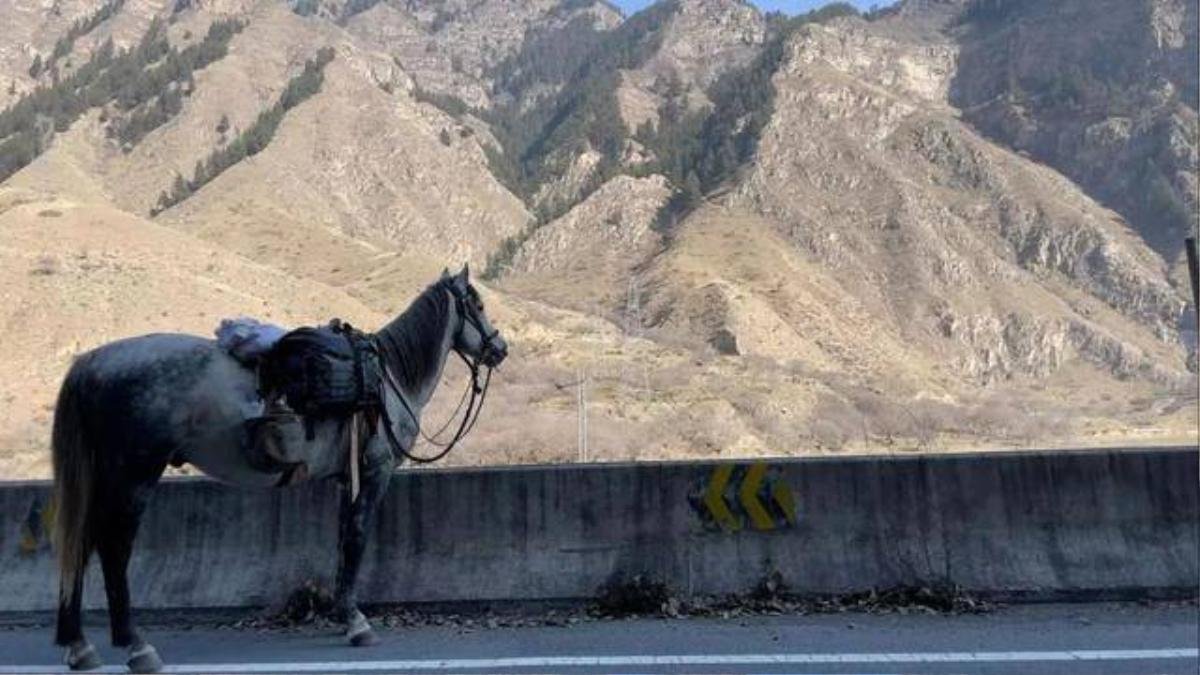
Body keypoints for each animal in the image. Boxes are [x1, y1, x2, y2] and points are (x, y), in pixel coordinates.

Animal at [46, 265, 504, 667]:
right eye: (478, 305)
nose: (499, 348)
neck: (383, 378)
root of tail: (92, 362)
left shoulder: (345, 480)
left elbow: (342, 541)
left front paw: (341, 615)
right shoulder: (375, 472)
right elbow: (357, 539)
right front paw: (356, 623)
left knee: (82, 541)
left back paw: (78, 644)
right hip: (133, 475)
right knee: (112, 547)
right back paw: (136, 645)